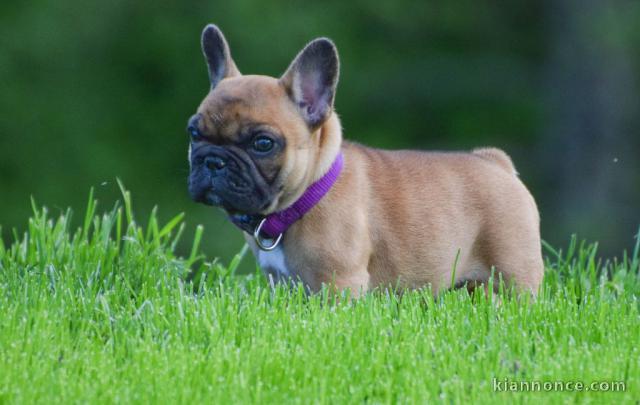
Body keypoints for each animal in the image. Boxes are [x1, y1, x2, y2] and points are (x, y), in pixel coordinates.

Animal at [188, 26, 544, 296]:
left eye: (263, 143)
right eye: (193, 133)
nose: (213, 161)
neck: (307, 195)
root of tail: (495, 161)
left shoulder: (340, 284)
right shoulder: (284, 286)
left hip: (513, 271)